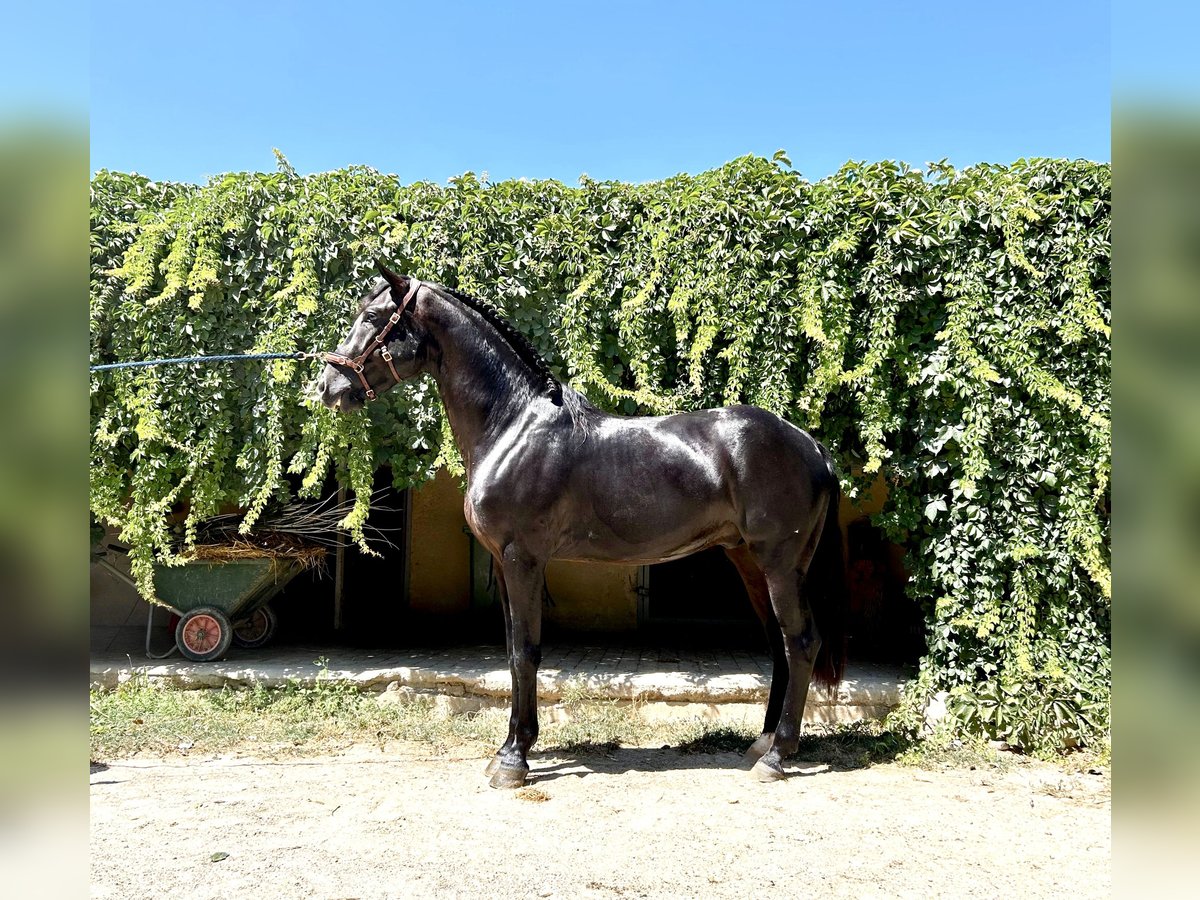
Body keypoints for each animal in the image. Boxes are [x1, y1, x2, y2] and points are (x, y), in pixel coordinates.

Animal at [314, 262, 849, 787]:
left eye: (372, 316)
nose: (326, 387)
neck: (512, 426)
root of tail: (812, 446)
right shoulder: (503, 563)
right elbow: (512, 651)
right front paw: (510, 749)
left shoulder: (522, 559)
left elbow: (525, 651)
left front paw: (514, 761)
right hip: (749, 561)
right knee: (780, 644)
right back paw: (761, 744)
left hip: (779, 563)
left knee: (801, 643)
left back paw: (776, 758)